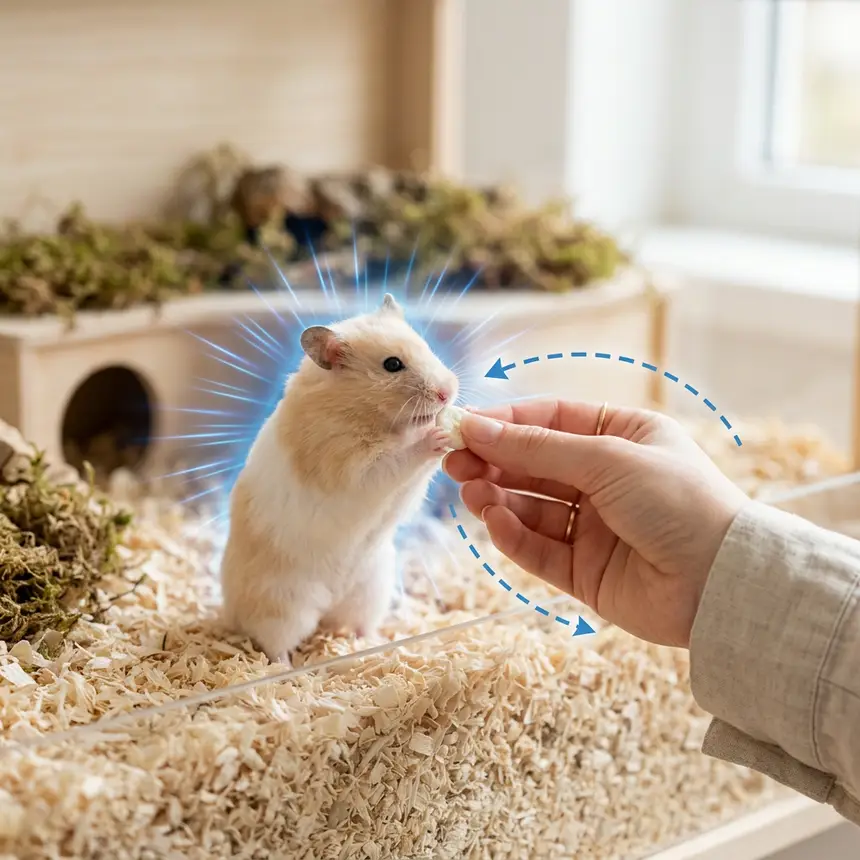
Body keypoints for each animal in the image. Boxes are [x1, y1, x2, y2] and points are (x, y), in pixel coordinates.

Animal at [219, 293, 460, 664]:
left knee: (356, 625)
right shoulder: (352, 468)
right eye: (392, 364)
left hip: (372, 590)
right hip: (283, 604)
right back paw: (285, 666)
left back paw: (373, 643)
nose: (449, 392)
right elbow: (397, 459)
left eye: (426, 346)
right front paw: (435, 435)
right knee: (273, 641)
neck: (365, 413)